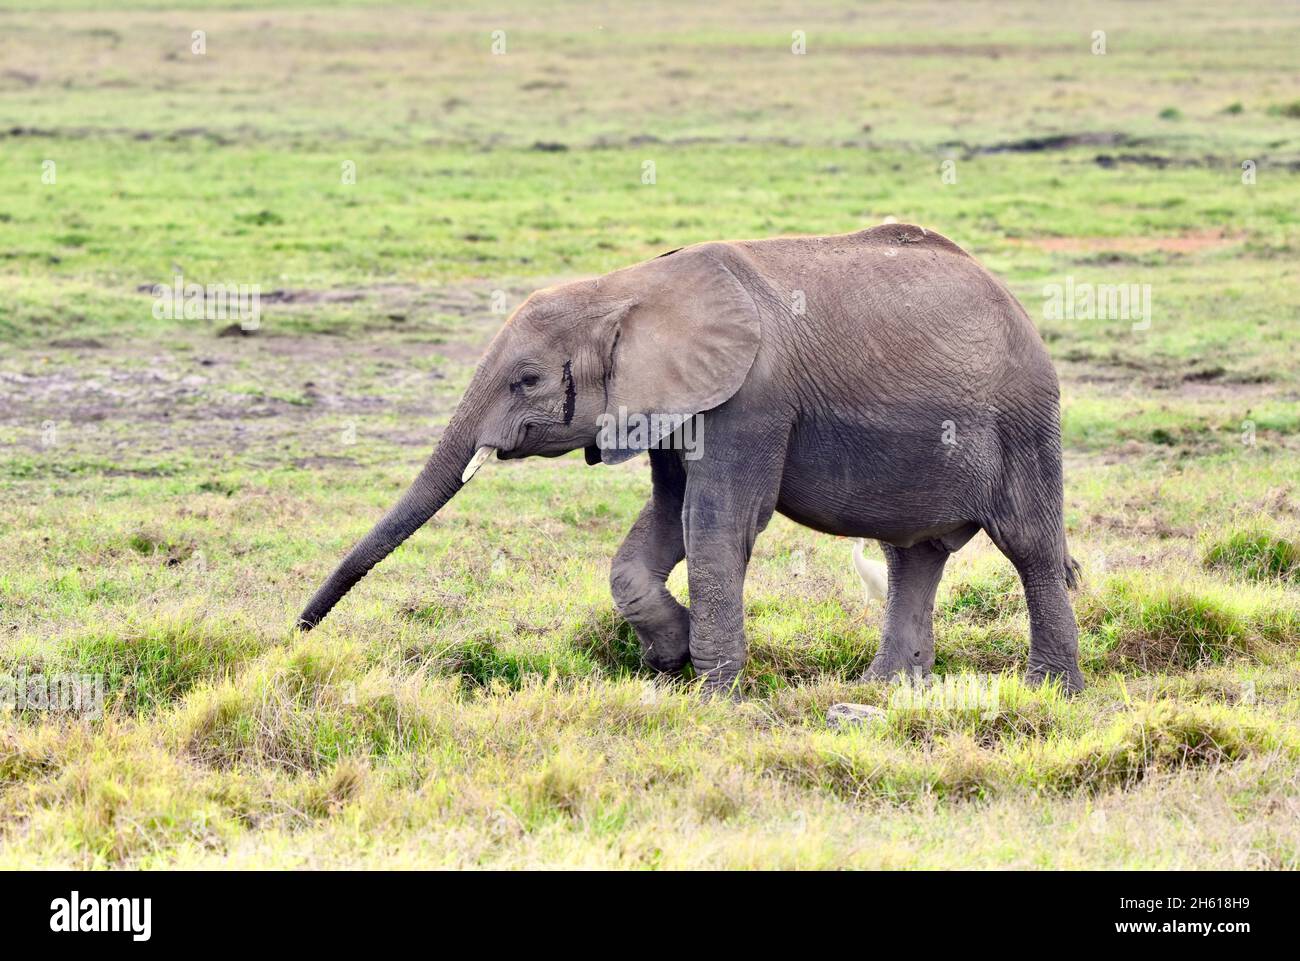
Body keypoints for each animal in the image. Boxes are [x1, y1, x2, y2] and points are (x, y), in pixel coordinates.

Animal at [297, 223, 1086, 691]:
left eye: (526, 379)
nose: (295, 636)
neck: (625, 287)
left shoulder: (755, 396)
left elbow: (719, 525)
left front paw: (711, 692)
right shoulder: (675, 403)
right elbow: (665, 521)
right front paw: (669, 657)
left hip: (1021, 418)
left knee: (1029, 547)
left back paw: (1048, 692)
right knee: (911, 556)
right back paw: (883, 692)